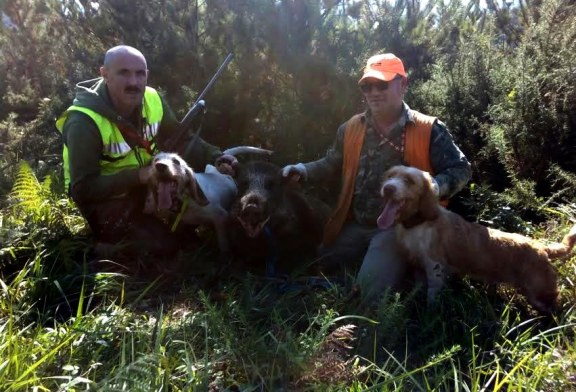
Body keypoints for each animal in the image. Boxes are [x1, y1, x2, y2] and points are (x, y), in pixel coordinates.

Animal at [378, 165, 576, 312]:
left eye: (409, 181)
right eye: (389, 176)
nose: (388, 188)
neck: (419, 223)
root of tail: (542, 248)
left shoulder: (435, 268)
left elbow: (432, 299)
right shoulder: (418, 267)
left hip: (542, 295)